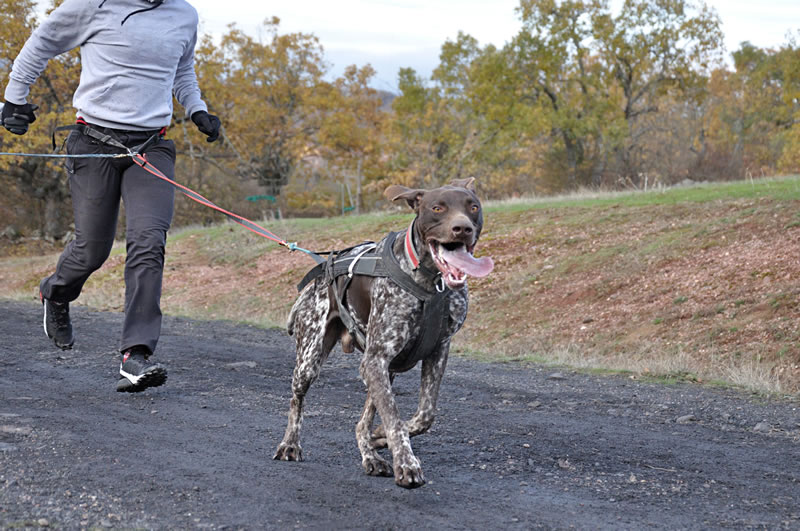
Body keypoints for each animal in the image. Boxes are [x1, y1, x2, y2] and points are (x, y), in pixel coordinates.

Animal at [276, 179, 494, 490]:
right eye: (437, 208)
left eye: (473, 207)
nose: (462, 228)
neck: (429, 281)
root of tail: (322, 270)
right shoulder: (376, 359)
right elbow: (393, 418)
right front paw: (406, 463)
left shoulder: (437, 352)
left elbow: (423, 415)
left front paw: (381, 438)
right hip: (311, 360)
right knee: (297, 401)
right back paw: (289, 445)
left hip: (381, 370)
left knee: (361, 424)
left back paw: (372, 455)